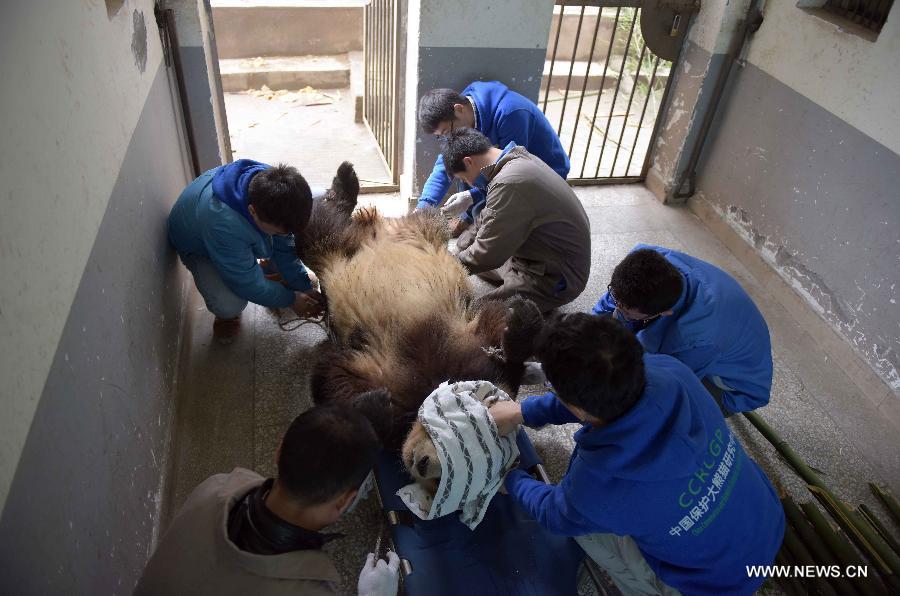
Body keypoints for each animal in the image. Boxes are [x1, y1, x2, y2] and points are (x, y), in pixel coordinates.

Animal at [298, 162, 540, 494]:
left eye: (444, 481)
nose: (423, 464)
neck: (432, 385)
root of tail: (381, 230)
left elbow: (334, 376)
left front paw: (373, 406)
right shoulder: (467, 352)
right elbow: (498, 321)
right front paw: (522, 317)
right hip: (363, 244)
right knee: (317, 226)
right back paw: (346, 183)